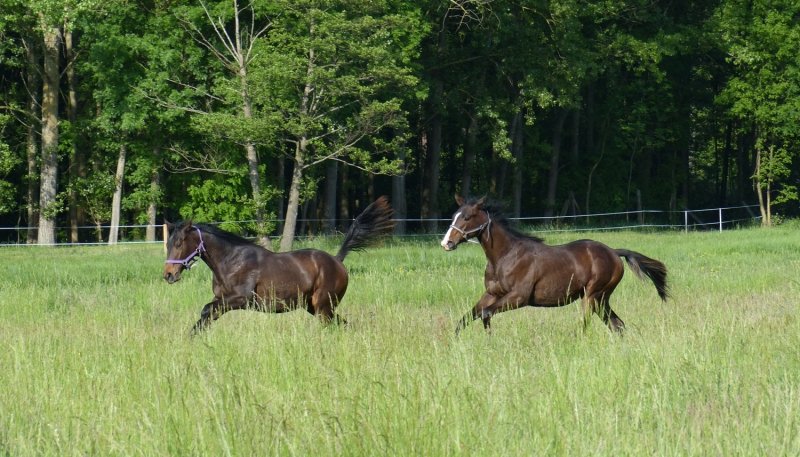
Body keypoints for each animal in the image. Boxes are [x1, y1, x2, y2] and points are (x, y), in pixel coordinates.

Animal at [163, 196, 394, 335]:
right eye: (168, 243)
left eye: (179, 243)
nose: (168, 275)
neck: (231, 261)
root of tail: (337, 260)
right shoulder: (221, 299)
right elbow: (207, 314)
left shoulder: (241, 299)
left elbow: (205, 310)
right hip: (314, 306)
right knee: (342, 324)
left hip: (323, 306)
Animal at [441, 195, 668, 335]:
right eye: (454, 216)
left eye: (467, 217)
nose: (446, 243)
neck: (506, 256)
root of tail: (613, 252)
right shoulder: (491, 294)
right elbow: (467, 318)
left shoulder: (519, 297)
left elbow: (485, 314)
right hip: (602, 299)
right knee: (617, 324)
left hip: (593, 296)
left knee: (587, 324)